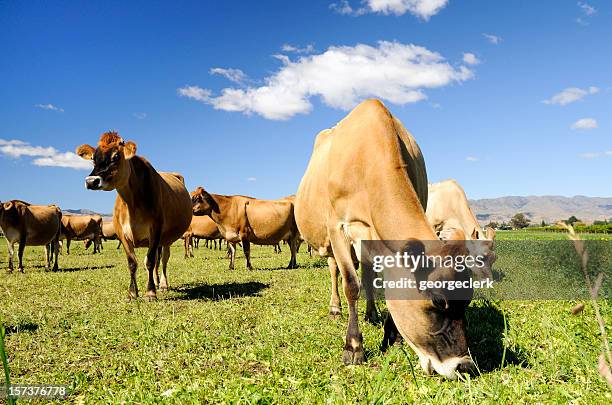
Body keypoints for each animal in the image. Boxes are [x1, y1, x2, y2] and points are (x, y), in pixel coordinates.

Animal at [76, 131, 191, 298]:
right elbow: (133, 263)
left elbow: (149, 261)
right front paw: (132, 293)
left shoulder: (156, 230)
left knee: (163, 260)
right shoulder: (121, 233)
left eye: (116, 156)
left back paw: (162, 284)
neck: (132, 204)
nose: (91, 181)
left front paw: (150, 292)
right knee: (157, 260)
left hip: (167, 238)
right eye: (93, 158)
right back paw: (156, 282)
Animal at [294, 99, 476, 378]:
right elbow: (351, 284)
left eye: (468, 298)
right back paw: (335, 308)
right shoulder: (337, 227)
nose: (464, 366)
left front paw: (394, 336)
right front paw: (353, 346)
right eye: (437, 299)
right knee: (335, 270)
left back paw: (371, 313)